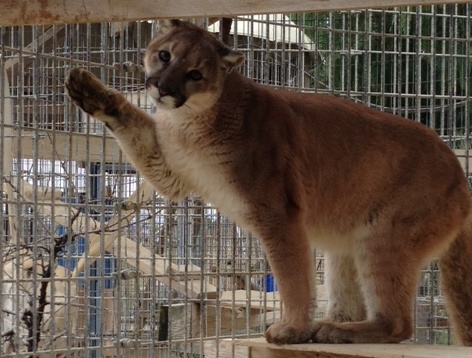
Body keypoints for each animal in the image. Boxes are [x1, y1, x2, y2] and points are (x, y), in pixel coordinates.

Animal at [65, 18, 472, 344]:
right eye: (164, 56)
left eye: (196, 74)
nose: (164, 88)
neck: (192, 123)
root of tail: (461, 178)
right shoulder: (172, 173)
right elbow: (134, 125)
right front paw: (91, 92)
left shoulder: (278, 213)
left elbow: (292, 277)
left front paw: (290, 329)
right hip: (346, 243)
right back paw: (329, 327)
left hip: (384, 236)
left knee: (398, 324)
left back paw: (334, 331)